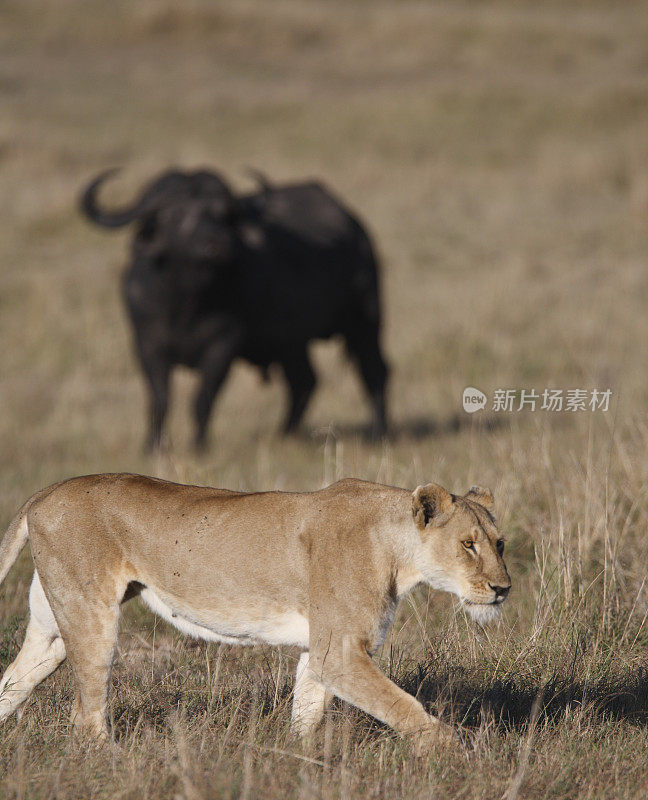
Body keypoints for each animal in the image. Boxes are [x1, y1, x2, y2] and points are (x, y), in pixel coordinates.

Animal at [79, 167, 384, 450]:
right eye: (174, 215)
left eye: (222, 215)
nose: (216, 245)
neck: (186, 304)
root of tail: (354, 225)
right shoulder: (146, 343)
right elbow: (159, 399)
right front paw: (152, 447)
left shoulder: (224, 344)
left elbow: (203, 397)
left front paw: (198, 446)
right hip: (291, 343)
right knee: (304, 381)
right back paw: (284, 434)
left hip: (365, 320)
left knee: (374, 371)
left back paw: (377, 432)